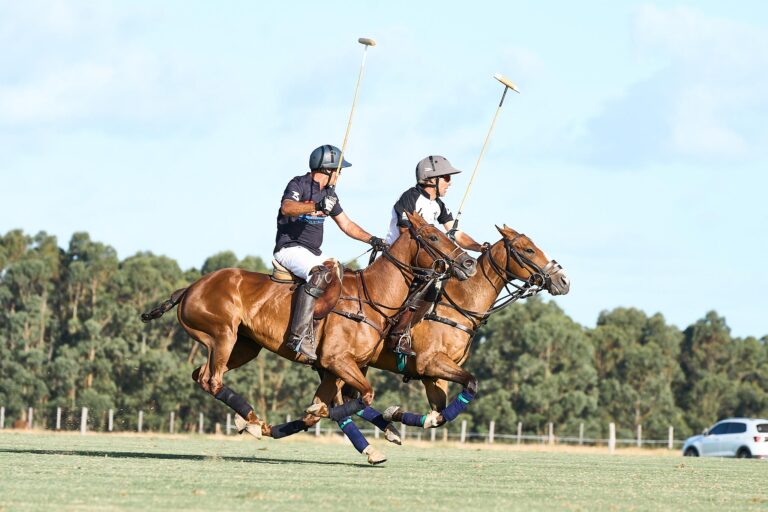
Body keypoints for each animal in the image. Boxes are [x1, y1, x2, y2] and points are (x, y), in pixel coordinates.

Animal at [140, 212, 472, 444]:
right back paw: (253, 421)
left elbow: (328, 405)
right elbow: (362, 396)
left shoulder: (337, 367)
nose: (468, 263)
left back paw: (255, 422)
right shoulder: (336, 360)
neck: (373, 298)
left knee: (201, 376)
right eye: (433, 237)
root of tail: (189, 288)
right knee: (212, 380)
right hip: (222, 334)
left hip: (244, 345)